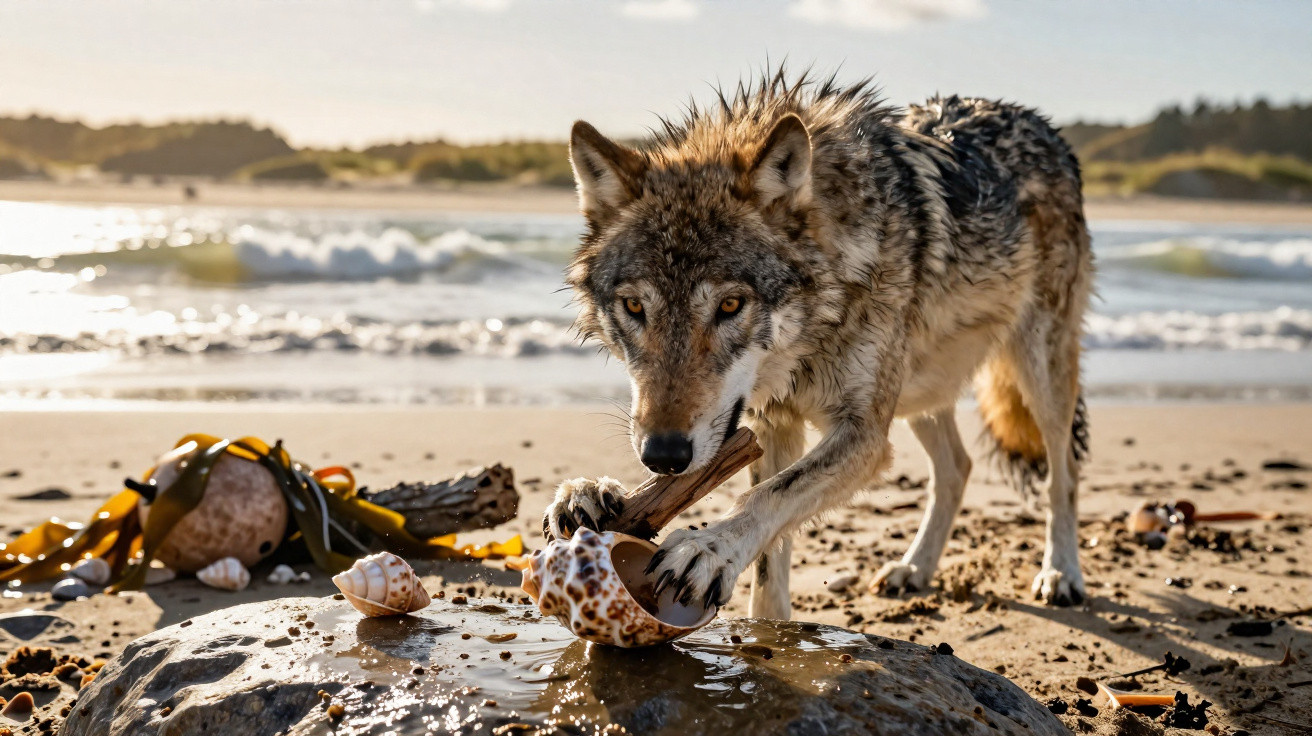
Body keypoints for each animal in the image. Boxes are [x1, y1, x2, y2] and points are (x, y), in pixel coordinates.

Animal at [543, 70, 1093, 619]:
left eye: (730, 305)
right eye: (635, 307)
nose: (663, 455)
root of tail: (1042, 125)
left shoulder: (864, 435)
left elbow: (770, 496)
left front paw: (709, 548)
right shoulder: (773, 424)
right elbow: (770, 571)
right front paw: (591, 492)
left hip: (1037, 376)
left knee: (1061, 474)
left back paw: (1061, 572)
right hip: (920, 390)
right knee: (957, 468)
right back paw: (914, 568)